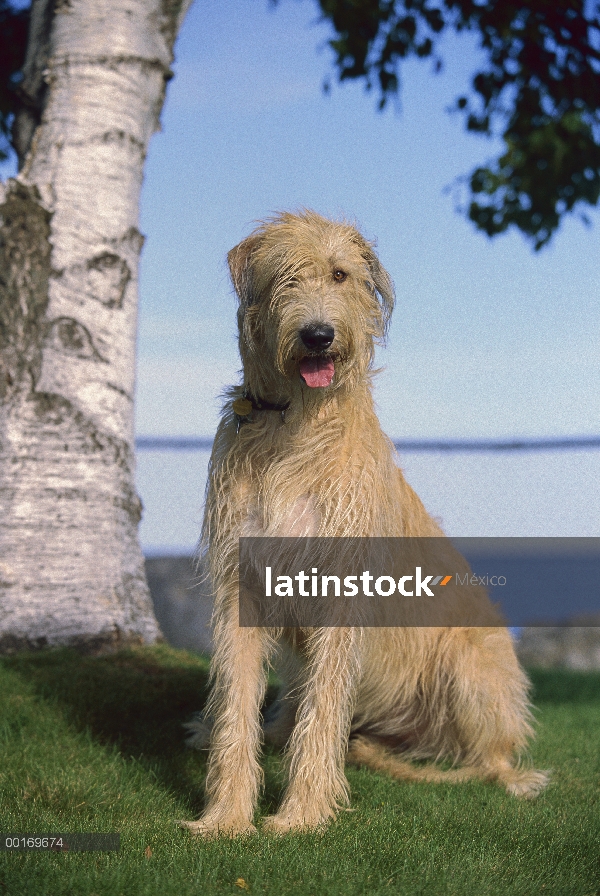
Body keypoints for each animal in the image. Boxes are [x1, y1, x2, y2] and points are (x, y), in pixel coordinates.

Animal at [183, 212, 548, 840]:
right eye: (284, 276)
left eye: (340, 274)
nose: (318, 335)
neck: (292, 424)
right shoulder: (242, 579)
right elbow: (236, 699)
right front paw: (226, 818)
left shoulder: (341, 585)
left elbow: (325, 706)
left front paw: (301, 816)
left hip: (472, 663)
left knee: (490, 758)